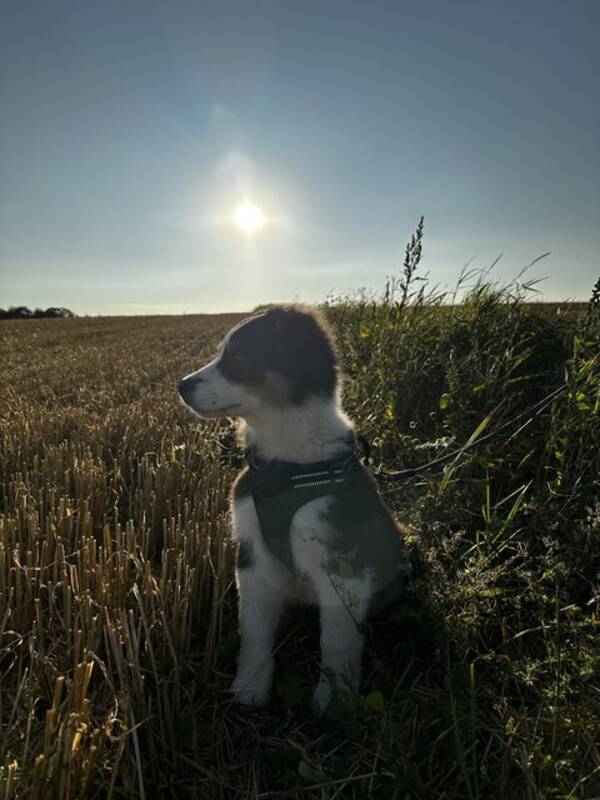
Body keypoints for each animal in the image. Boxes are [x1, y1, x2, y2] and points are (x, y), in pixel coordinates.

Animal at [178, 304, 410, 712]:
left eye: (238, 358)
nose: (181, 386)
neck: (285, 466)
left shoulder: (342, 562)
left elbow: (337, 638)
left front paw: (334, 699)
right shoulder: (252, 554)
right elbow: (253, 628)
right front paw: (250, 685)